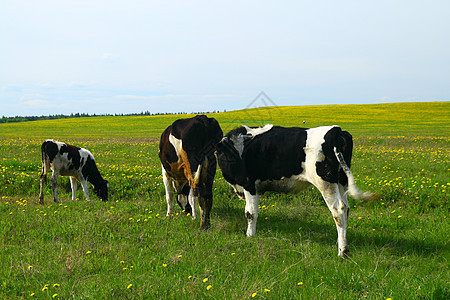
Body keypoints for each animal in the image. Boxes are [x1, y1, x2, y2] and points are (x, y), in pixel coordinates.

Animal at [216, 124, 374, 258]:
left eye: (223, 155)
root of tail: (335, 130)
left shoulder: (249, 184)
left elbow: (250, 213)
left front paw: (250, 236)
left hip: (326, 183)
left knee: (338, 210)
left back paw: (342, 251)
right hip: (342, 182)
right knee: (346, 209)